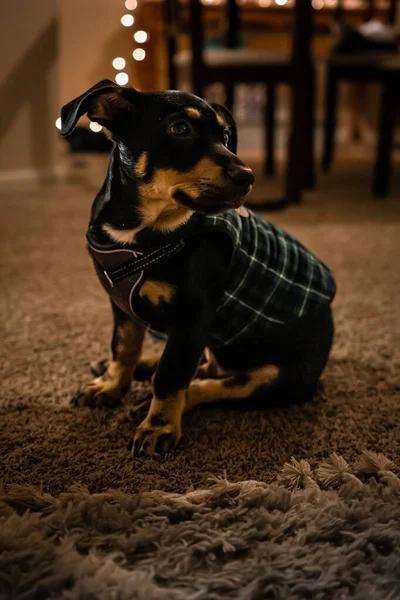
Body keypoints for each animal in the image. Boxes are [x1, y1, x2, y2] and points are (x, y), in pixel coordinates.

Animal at [60, 78, 334, 454]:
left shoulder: (193, 315)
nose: (247, 177)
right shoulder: (122, 306)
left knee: (211, 384)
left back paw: (151, 401)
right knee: (203, 367)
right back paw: (138, 368)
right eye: (180, 129)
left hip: (277, 376)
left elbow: (172, 375)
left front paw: (158, 427)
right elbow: (123, 347)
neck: (141, 231)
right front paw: (111, 385)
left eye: (225, 135)